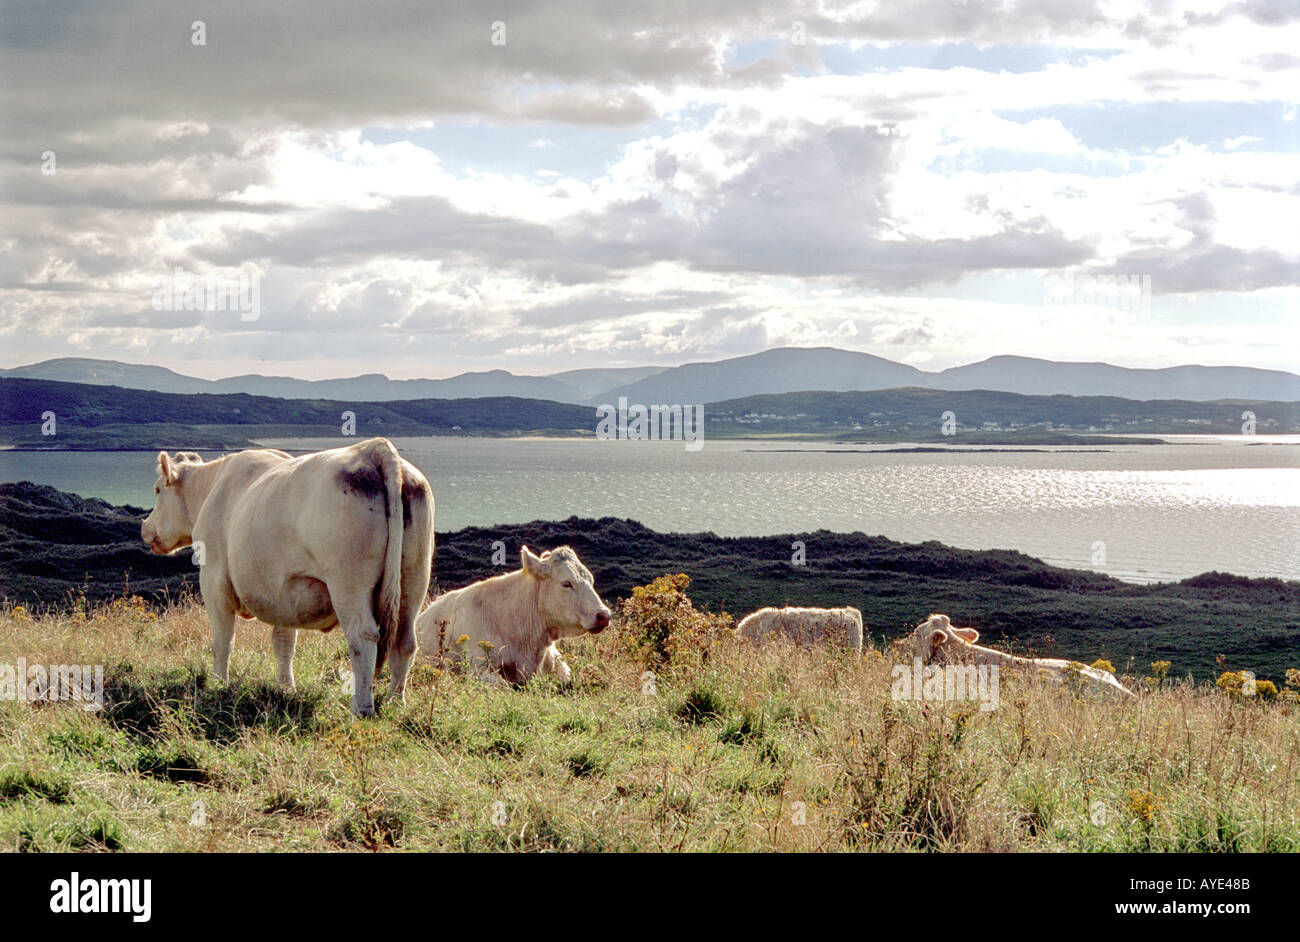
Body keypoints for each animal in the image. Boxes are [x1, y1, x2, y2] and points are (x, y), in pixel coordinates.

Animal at [143, 436, 434, 717]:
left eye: (157, 490)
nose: (145, 527)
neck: (211, 489)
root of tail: (372, 449)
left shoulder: (213, 580)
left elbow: (222, 641)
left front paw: (218, 684)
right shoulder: (285, 592)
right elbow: (284, 644)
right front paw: (285, 688)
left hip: (348, 583)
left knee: (363, 637)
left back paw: (361, 709)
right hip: (414, 577)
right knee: (405, 642)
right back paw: (396, 702)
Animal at [421, 543, 613, 686]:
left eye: (591, 580)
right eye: (566, 583)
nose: (604, 615)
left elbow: (567, 678)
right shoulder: (476, 666)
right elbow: (504, 685)